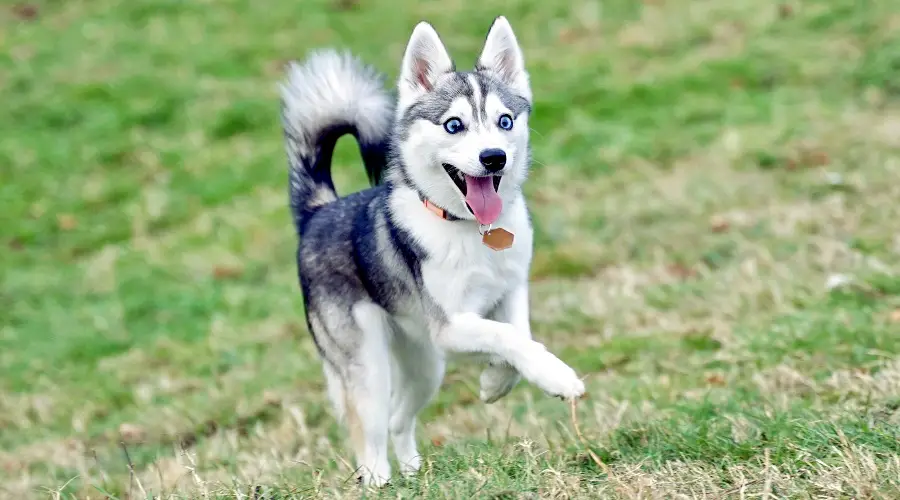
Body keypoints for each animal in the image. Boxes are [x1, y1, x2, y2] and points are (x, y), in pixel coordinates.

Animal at [284, 16, 592, 488]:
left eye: (505, 121)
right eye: (453, 125)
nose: (494, 157)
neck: (471, 229)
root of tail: (318, 212)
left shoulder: (509, 291)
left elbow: (517, 335)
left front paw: (496, 383)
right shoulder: (449, 327)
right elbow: (505, 336)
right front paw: (556, 377)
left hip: (426, 364)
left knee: (398, 419)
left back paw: (412, 473)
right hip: (369, 365)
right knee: (370, 433)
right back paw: (380, 481)